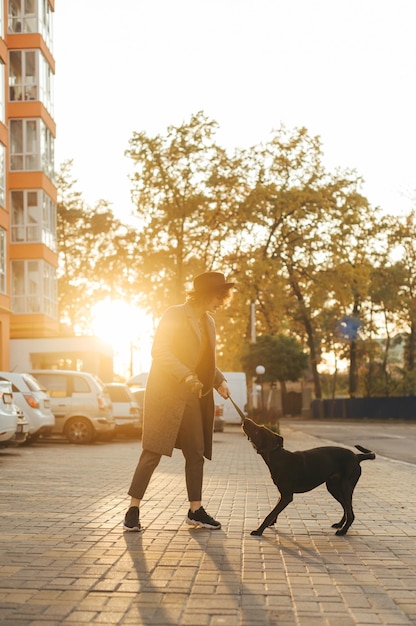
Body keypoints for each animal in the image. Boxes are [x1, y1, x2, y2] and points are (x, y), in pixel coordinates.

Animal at [242, 416, 376, 532]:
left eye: (258, 431)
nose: (246, 419)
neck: (277, 456)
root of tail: (357, 456)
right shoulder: (282, 493)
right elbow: (274, 511)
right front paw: (270, 523)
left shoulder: (287, 496)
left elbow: (271, 513)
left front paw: (259, 530)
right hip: (333, 487)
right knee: (346, 509)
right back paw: (340, 524)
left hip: (346, 487)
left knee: (350, 512)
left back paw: (343, 531)